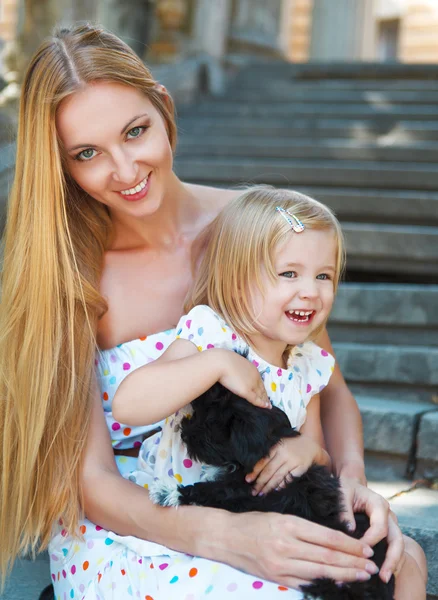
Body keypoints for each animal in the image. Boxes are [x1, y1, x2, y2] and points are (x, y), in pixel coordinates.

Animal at [151, 384, 394, 600]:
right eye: (199, 413)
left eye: (211, 425)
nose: (185, 433)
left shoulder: (247, 495)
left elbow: (213, 492)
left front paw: (169, 492)